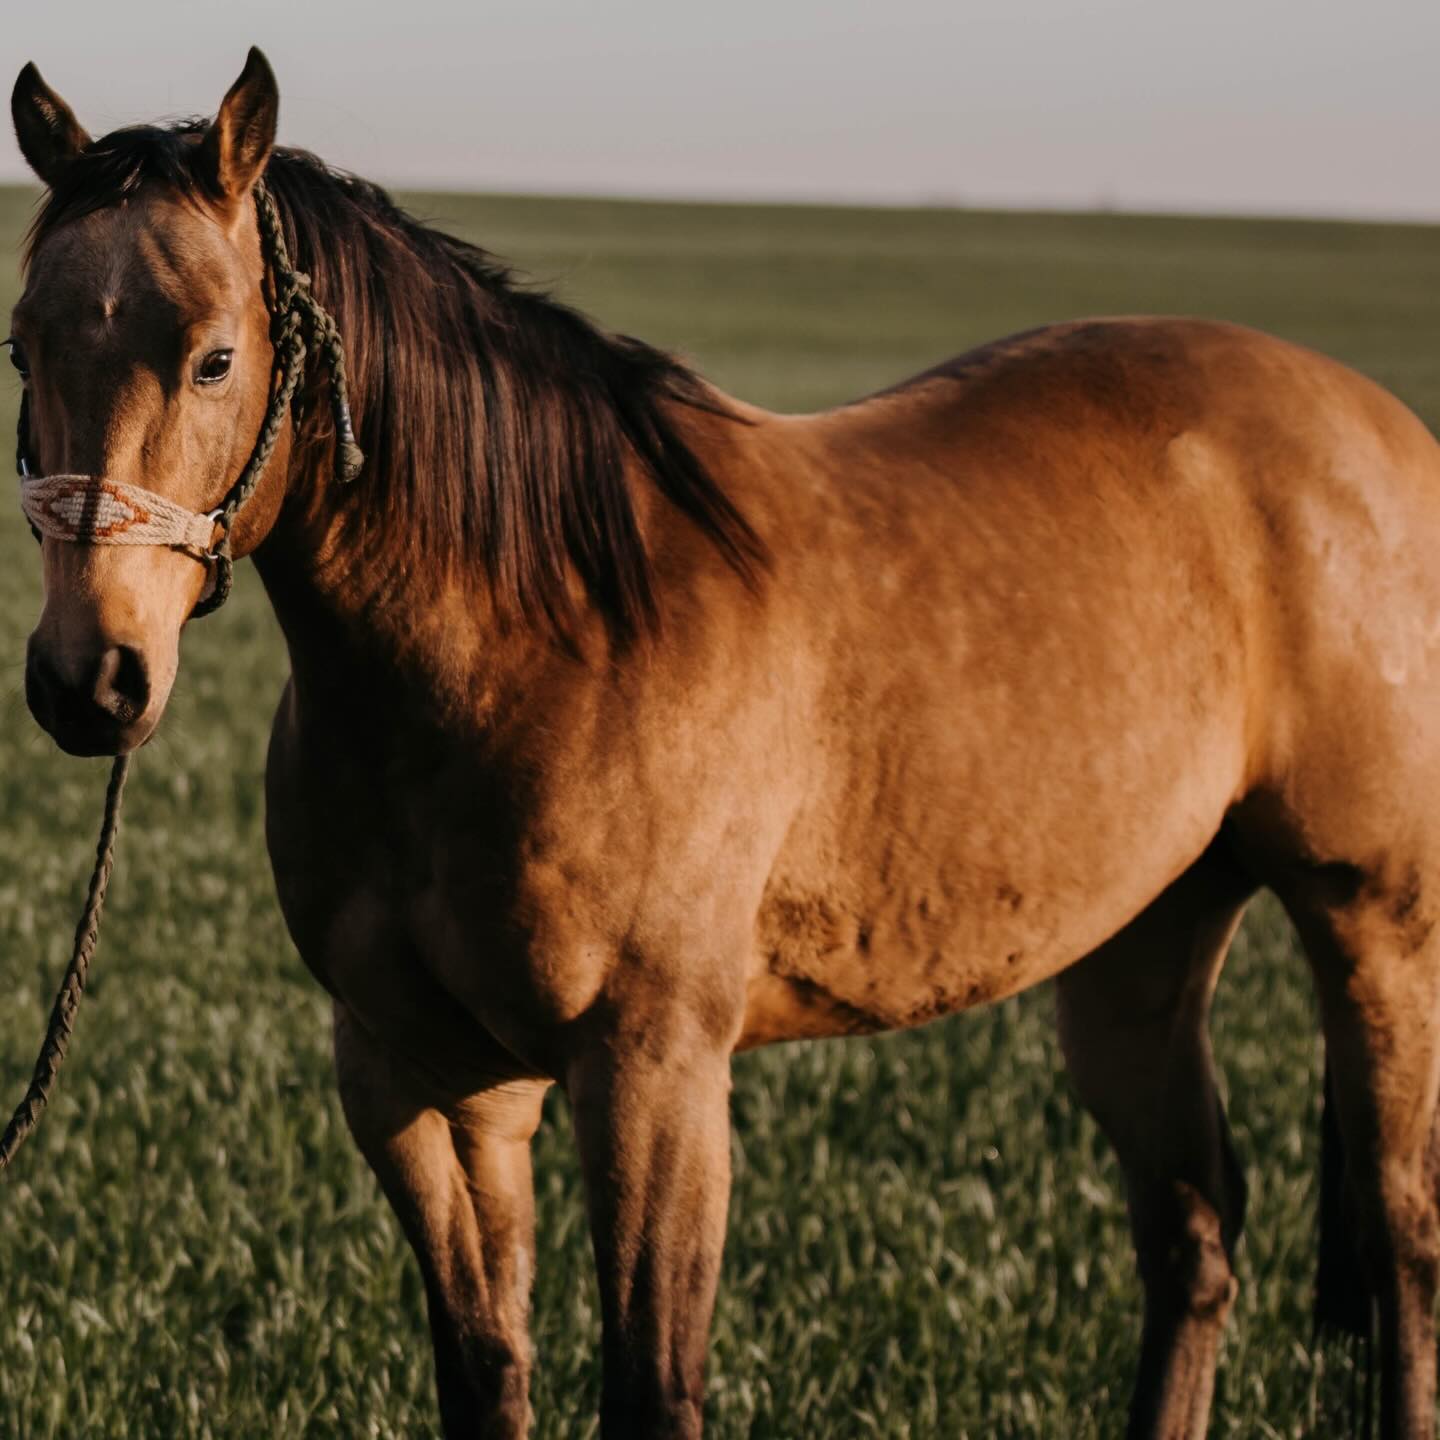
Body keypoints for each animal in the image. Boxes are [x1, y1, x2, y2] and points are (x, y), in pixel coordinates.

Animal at [9, 46, 1440, 1439]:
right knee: (1193, 1232)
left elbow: (654, 1388)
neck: (533, 641)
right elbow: (485, 1370)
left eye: (215, 357)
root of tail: (1380, 432)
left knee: (1404, 1236)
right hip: (1138, 947)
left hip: (1375, 926)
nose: (91, 680)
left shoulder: (655, 1075)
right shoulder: (421, 1078)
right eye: (22, 349)